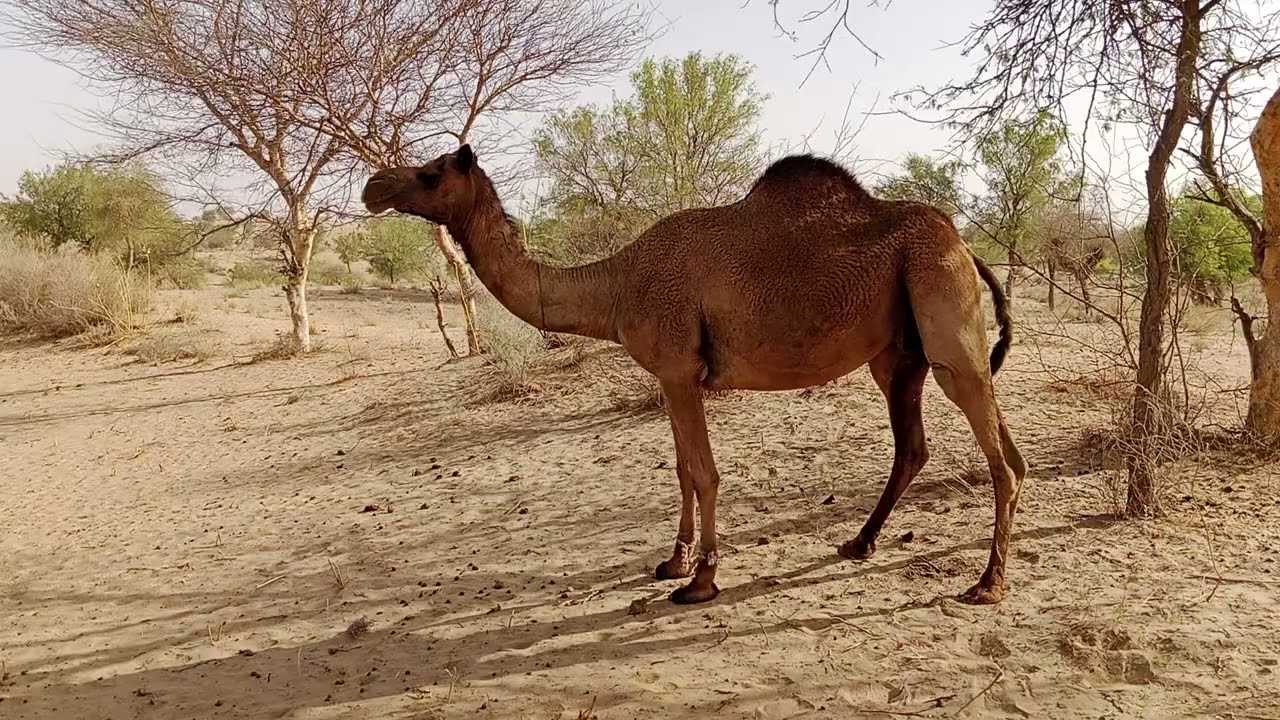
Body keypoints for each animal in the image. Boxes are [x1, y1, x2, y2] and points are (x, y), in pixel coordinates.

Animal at [362, 145, 1028, 606]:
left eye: (432, 172)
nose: (373, 187)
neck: (619, 282)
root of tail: (964, 244)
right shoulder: (668, 376)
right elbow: (682, 470)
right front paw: (673, 563)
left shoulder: (680, 370)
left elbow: (704, 472)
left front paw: (701, 580)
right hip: (897, 354)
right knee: (933, 445)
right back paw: (859, 544)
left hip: (941, 308)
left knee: (997, 452)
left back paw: (988, 584)